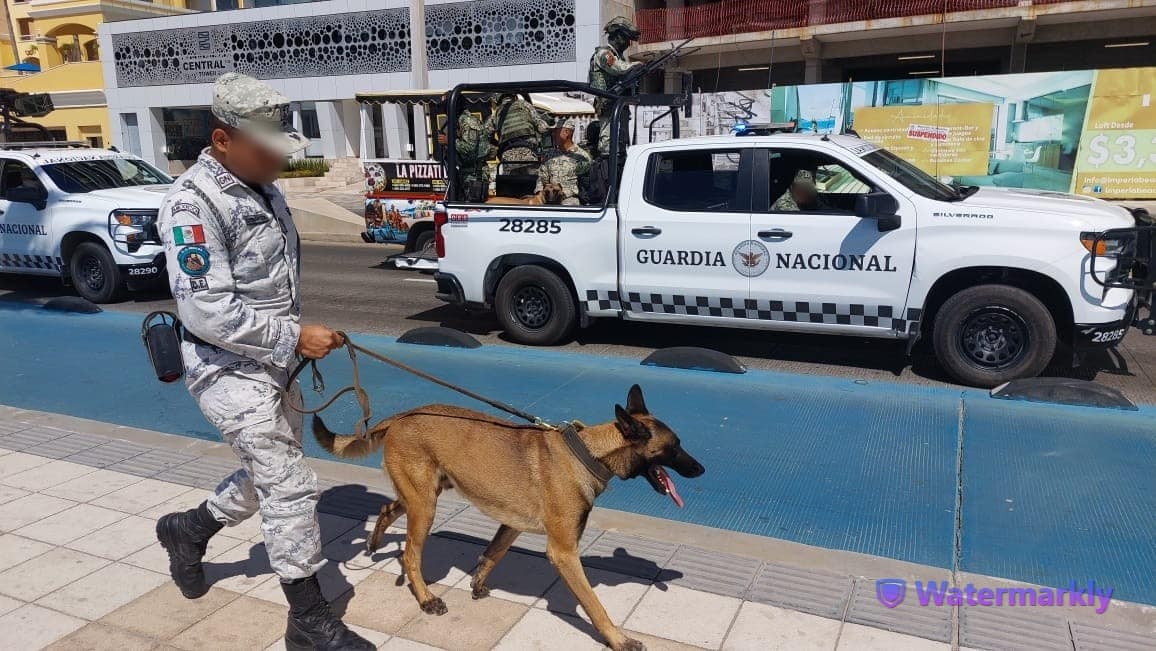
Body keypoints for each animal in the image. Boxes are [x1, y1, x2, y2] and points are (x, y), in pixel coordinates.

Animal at [309, 383, 702, 647]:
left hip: (422, 495)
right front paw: (618, 638)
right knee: (410, 555)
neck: (590, 452)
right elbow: (594, 604)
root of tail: (401, 416)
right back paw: (425, 598)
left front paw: (479, 581)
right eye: (675, 447)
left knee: (387, 508)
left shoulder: (512, 525)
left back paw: (375, 541)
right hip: (425, 507)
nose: (700, 469)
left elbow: (493, 554)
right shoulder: (564, 553)